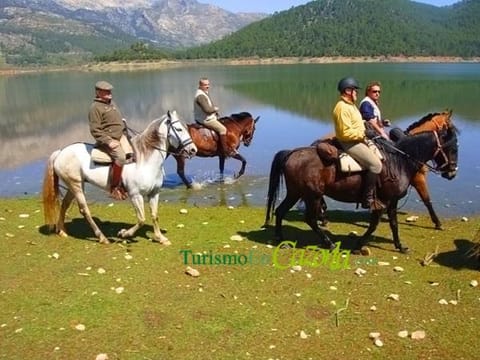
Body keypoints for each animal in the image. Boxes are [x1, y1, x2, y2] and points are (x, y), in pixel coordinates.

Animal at [42, 110, 197, 245]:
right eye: (179, 129)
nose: (193, 150)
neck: (145, 161)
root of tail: (60, 152)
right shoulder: (135, 195)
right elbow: (141, 219)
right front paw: (124, 233)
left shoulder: (154, 193)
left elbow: (154, 215)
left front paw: (161, 238)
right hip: (76, 186)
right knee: (84, 210)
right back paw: (102, 237)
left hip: (74, 185)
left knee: (65, 204)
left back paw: (62, 231)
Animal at [264, 124, 460, 253]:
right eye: (453, 148)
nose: (452, 173)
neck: (400, 161)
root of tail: (292, 152)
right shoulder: (383, 202)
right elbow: (374, 225)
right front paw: (359, 245)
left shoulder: (392, 201)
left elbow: (394, 224)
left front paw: (400, 246)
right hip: (312, 195)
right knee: (310, 219)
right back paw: (329, 243)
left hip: (296, 193)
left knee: (280, 211)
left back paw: (279, 238)